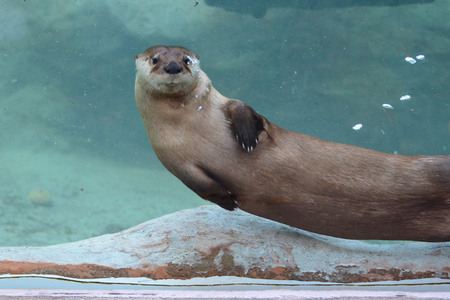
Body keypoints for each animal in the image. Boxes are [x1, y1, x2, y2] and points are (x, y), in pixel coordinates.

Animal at [134, 45, 450, 243]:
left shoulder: (223, 103)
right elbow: (198, 185)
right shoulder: (173, 158)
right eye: (155, 59)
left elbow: (245, 109)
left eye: (187, 59)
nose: (173, 66)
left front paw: (247, 136)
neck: (192, 124)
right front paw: (228, 199)